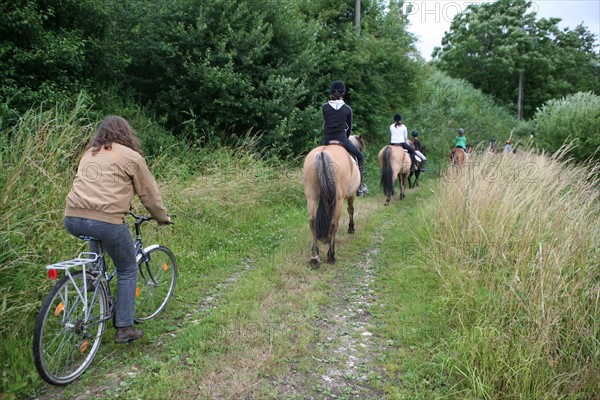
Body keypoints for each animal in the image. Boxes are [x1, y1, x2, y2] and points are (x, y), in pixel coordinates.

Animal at [302, 135, 364, 268]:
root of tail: (323, 153)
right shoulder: (351, 195)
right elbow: (351, 210)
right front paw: (351, 229)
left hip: (311, 197)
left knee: (312, 222)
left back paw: (315, 257)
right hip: (338, 200)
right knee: (334, 223)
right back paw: (331, 255)